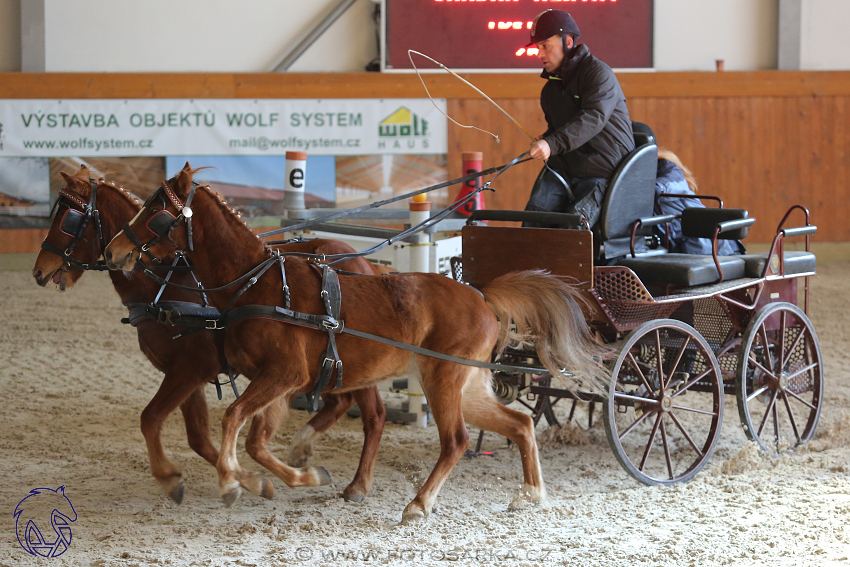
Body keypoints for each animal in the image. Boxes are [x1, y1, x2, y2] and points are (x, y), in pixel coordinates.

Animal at [31, 166, 386, 504]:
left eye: (68, 218)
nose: (37, 271)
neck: (165, 285)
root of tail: (367, 265)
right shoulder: (189, 372)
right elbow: (198, 437)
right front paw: (250, 480)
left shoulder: (192, 367)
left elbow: (151, 419)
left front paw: (180, 478)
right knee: (341, 400)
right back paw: (303, 449)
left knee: (374, 415)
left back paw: (356, 484)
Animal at [106, 164, 608, 524]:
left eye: (157, 211)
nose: (113, 251)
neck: (257, 284)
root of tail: (480, 295)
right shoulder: (276, 383)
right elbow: (254, 439)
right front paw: (297, 474)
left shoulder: (283, 375)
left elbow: (233, 419)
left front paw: (232, 482)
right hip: (467, 385)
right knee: (519, 424)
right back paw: (531, 494)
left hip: (443, 379)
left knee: (457, 440)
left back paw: (419, 504)